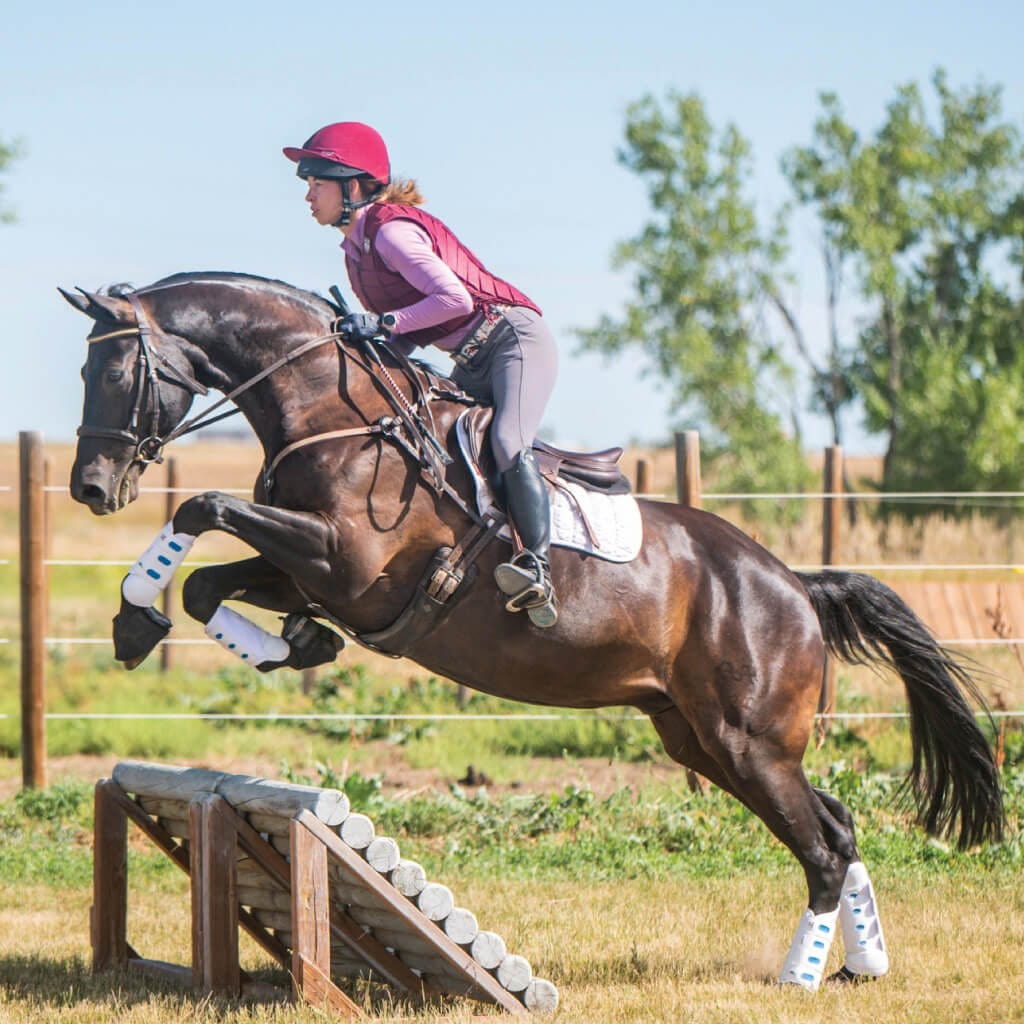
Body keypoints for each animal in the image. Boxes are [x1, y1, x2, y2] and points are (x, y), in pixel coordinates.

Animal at [61, 272, 1004, 992]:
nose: (91, 489)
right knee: (837, 827)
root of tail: (796, 586)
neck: (336, 412)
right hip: (699, 739)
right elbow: (207, 582)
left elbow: (200, 504)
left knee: (822, 845)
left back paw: (799, 977)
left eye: (116, 371)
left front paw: (146, 611)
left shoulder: (341, 562)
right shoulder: (313, 572)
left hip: (750, 743)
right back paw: (861, 967)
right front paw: (189, 628)